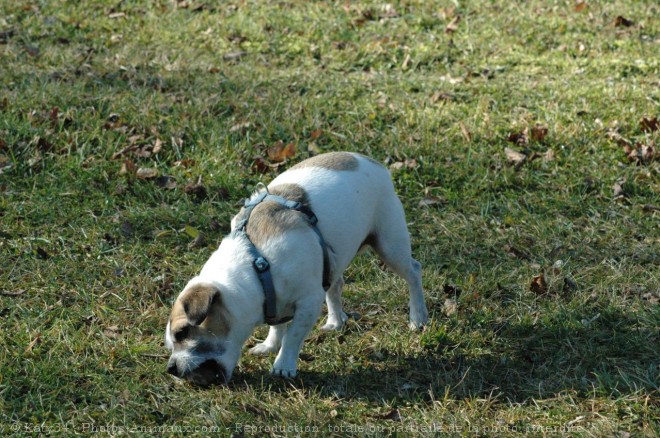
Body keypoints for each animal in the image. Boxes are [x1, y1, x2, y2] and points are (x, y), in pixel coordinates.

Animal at [165, 152, 428, 384]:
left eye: (182, 333)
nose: (171, 369)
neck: (256, 265)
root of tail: (372, 162)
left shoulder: (308, 303)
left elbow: (292, 336)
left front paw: (283, 364)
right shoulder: (274, 299)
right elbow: (277, 327)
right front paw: (270, 345)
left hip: (389, 246)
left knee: (414, 272)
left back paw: (417, 317)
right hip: (334, 262)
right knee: (335, 285)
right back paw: (335, 321)